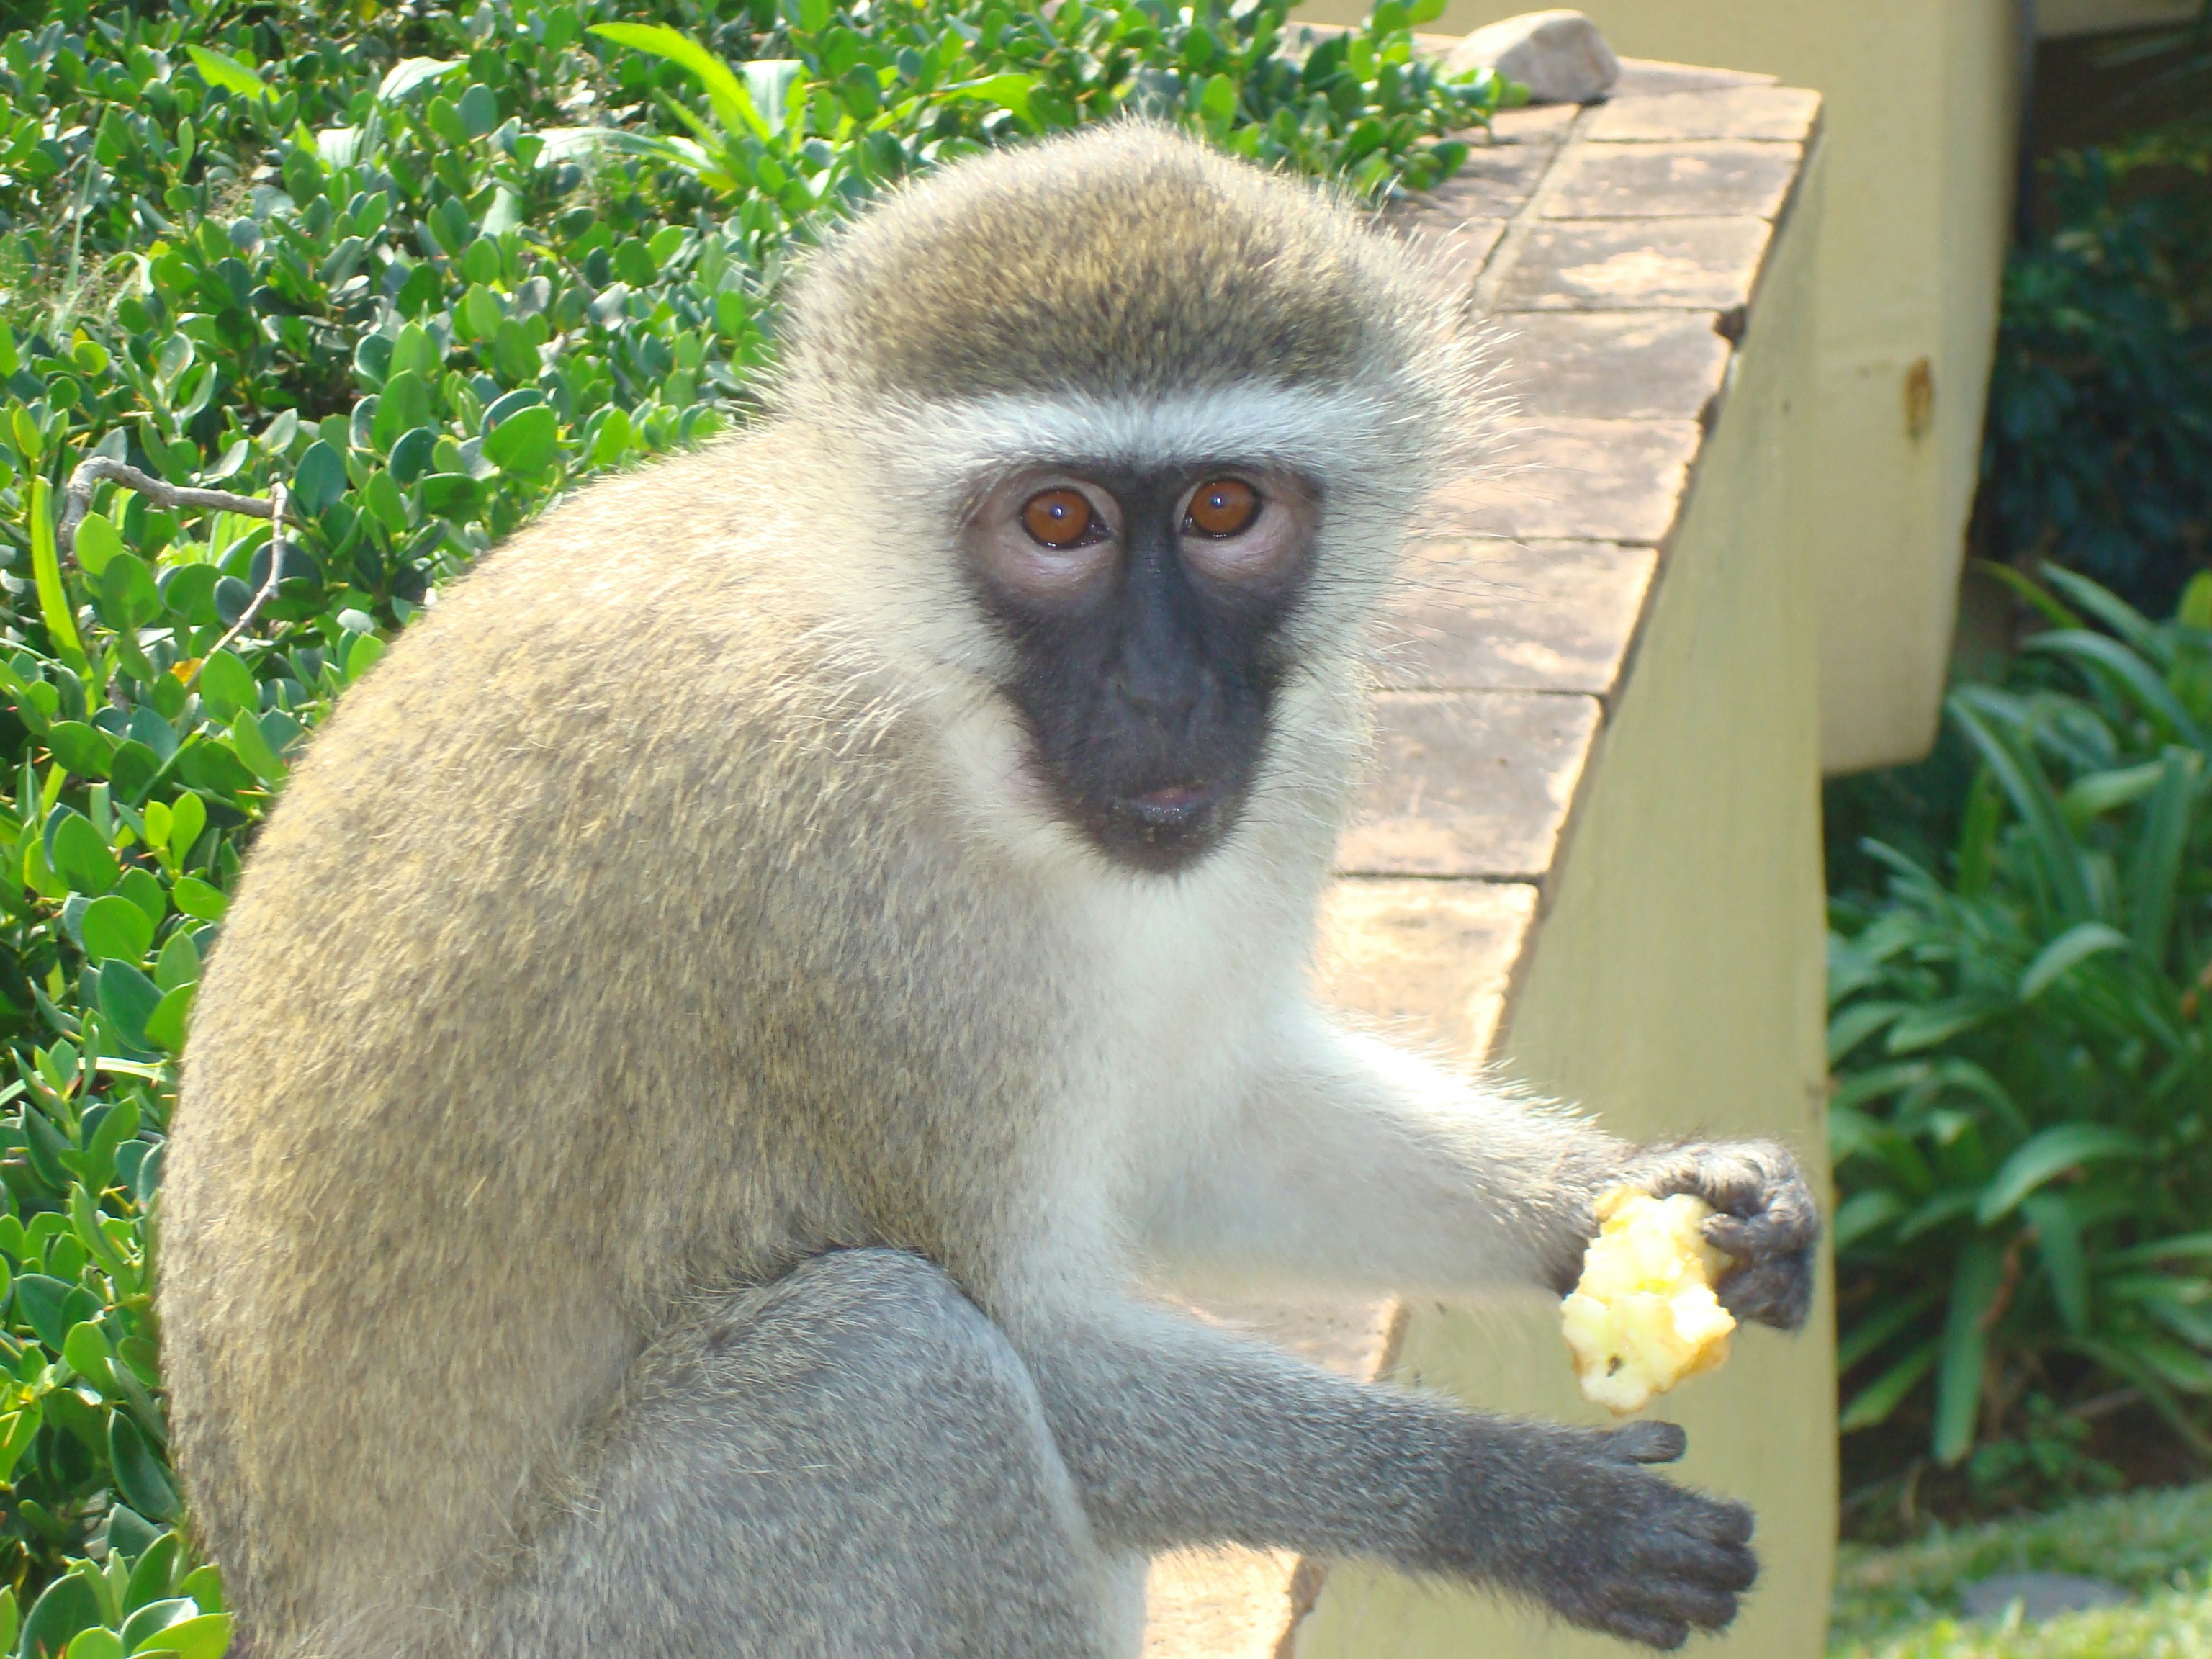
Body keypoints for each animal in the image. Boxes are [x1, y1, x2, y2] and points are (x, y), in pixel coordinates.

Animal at [156, 122, 1820, 1659]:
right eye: (1057, 522)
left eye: (1225, 510)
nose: (1161, 694)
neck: (920, 678)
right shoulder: (850, 907)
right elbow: (1034, 1338)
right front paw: (1507, 1500)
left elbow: (1202, 1127)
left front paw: (1663, 1201)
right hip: (609, 1616)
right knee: (898, 1367)